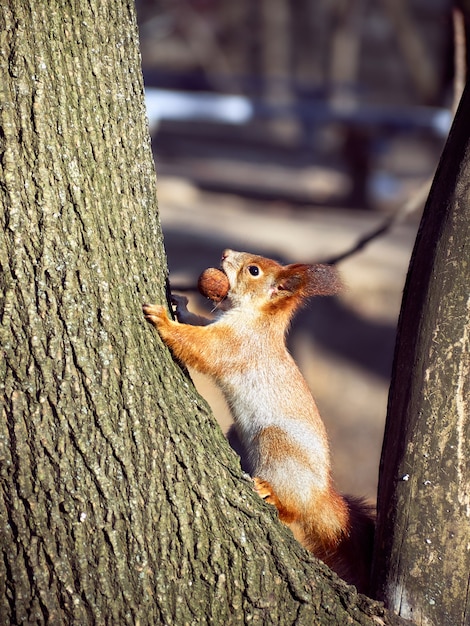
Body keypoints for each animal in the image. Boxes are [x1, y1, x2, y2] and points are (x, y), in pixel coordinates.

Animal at [143, 247, 374, 588]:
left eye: (254, 270)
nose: (226, 252)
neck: (256, 318)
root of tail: (320, 496)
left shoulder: (237, 344)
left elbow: (204, 348)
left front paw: (162, 319)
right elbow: (201, 323)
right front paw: (181, 306)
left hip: (276, 447)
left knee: (292, 513)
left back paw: (272, 495)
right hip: (237, 435)